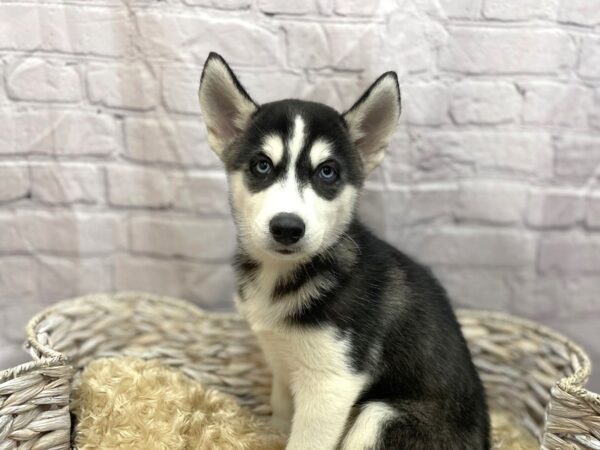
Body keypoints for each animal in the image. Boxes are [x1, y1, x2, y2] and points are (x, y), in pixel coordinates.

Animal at [199, 51, 490, 448]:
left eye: (327, 172)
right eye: (261, 166)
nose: (287, 227)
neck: (284, 274)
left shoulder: (333, 382)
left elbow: (306, 442)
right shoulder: (282, 360)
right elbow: (281, 409)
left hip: (381, 416)